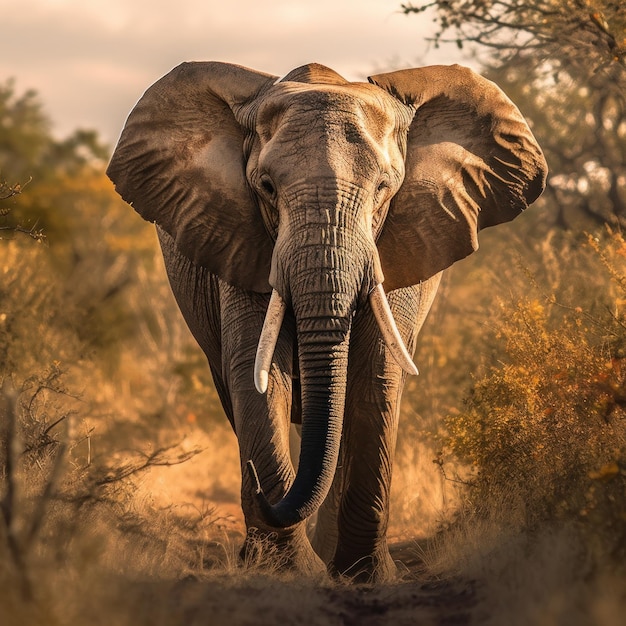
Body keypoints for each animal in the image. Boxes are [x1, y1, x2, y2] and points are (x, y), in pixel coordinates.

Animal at [108, 61, 544, 576]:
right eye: (266, 188)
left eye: (384, 188)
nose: (260, 489)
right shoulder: (240, 239)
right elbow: (256, 372)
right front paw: (289, 571)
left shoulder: (400, 244)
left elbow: (376, 375)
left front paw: (365, 576)